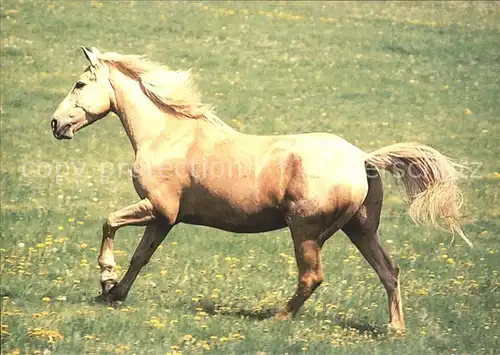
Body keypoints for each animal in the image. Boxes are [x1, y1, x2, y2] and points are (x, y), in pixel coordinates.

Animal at [51, 47, 472, 334]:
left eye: (79, 84)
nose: (55, 124)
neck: (168, 134)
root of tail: (361, 158)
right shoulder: (166, 219)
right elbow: (141, 257)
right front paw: (113, 294)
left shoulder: (158, 207)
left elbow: (109, 222)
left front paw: (106, 279)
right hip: (361, 230)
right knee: (389, 270)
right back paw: (395, 328)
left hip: (306, 230)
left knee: (312, 277)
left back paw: (277, 318)